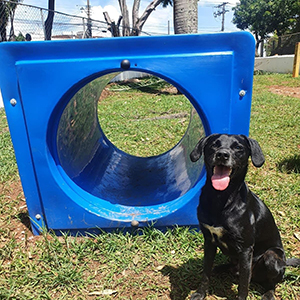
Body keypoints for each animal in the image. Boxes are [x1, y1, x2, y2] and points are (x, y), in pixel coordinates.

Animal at [191, 134, 298, 300]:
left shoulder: (246, 250)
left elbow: (243, 285)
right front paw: (200, 293)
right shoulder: (209, 241)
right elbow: (205, 273)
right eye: (214, 145)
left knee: (270, 282)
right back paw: (220, 268)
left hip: (272, 257)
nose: (222, 154)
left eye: (238, 147)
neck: (220, 198)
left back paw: (268, 294)